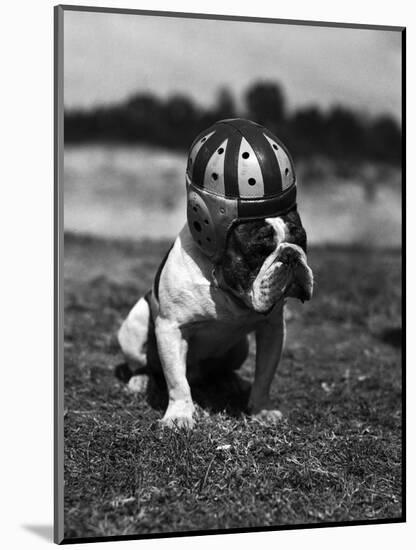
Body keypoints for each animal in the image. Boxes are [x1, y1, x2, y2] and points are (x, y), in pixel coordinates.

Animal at [117, 207, 312, 432]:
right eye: (259, 250)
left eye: (302, 240)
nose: (290, 253)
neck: (227, 288)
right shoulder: (171, 329)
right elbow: (177, 380)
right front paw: (178, 416)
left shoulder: (272, 329)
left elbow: (265, 376)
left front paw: (262, 410)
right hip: (136, 323)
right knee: (143, 364)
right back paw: (140, 380)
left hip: (241, 347)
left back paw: (231, 381)